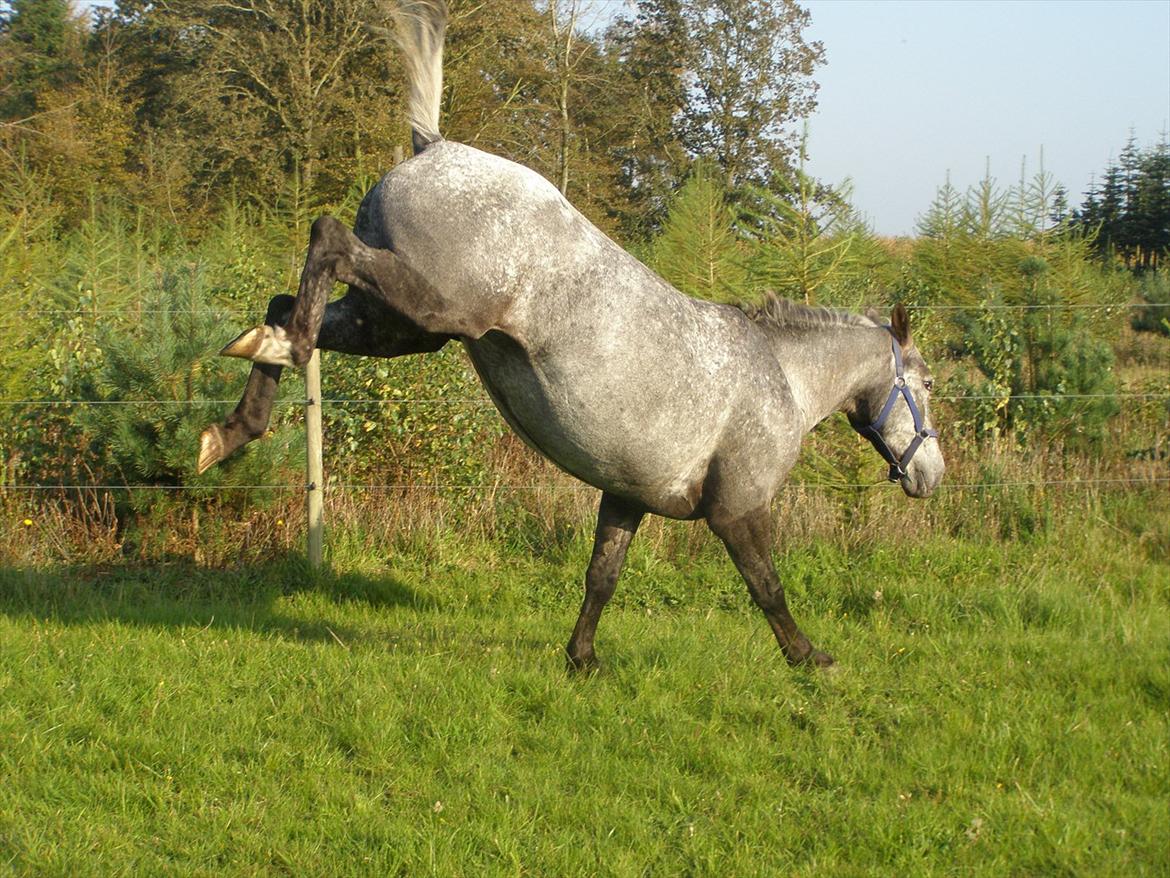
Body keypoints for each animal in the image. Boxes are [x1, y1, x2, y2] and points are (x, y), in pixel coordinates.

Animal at [201, 1, 945, 674]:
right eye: (929, 384)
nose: (932, 477)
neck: (781, 378)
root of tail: (434, 145)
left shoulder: (626, 495)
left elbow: (601, 576)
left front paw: (582, 659)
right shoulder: (737, 510)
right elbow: (767, 586)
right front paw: (809, 658)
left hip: (395, 325)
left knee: (284, 304)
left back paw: (233, 418)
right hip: (439, 311)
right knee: (324, 244)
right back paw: (279, 361)